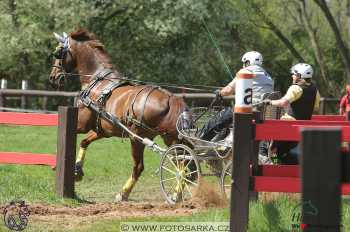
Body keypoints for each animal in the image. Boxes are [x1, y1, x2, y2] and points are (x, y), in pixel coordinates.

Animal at [48, 28, 189, 201]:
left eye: (57, 53)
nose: (53, 77)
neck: (97, 81)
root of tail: (171, 99)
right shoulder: (102, 130)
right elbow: (84, 142)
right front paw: (78, 169)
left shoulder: (81, 123)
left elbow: (69, 136)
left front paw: (58, 163)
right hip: (171, 139)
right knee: (184, 163)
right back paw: (177, 194)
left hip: (137, 138)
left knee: (140, 166)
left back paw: (124, 193)